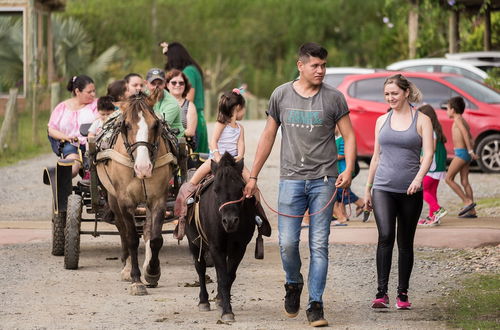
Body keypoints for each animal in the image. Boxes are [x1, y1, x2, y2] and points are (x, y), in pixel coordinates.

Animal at [96, 91, 177, 296]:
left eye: (155, 124)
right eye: (126, 126)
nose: (143, 168)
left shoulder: (158, 200)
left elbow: (155, 238)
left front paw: (152, 272)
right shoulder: (125, 202)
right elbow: (131, 238)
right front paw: (136, 279)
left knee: (147, 230)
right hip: (113, 199)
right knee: (122, 230)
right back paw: (126, 268)